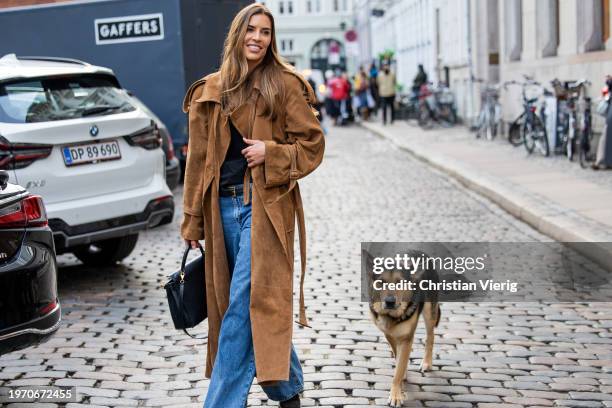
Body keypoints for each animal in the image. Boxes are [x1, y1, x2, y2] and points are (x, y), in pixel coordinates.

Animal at [364, 249, 440, 408]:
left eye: (400, 283)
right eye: (381, 282)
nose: (390, 302)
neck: (392, 316)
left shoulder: (406, 338)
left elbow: (398, 370)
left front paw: (396, 395)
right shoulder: (389, 334)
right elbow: (397, 355)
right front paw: (403, 371)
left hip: (429, 311)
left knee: (430, 337)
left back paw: (426, 362)